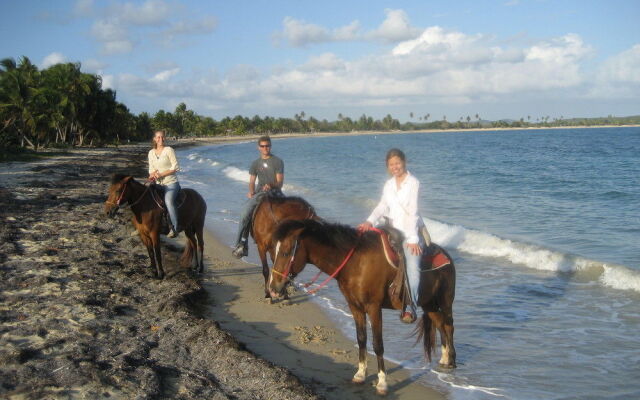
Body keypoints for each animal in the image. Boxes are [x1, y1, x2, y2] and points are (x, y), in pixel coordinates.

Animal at [268, 219, 458, 396]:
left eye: (285, 252)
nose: (273, 288)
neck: (356, 263)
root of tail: (446, 255)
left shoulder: (373, 308)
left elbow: (377, 344)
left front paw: (382, 383)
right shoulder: (355, 306)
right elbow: (361, 339)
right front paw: (360, 374)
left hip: (445, 301)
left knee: (449, 326)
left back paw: (451, 361)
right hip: (429, 304)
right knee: (440, 325)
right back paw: (444, 358)